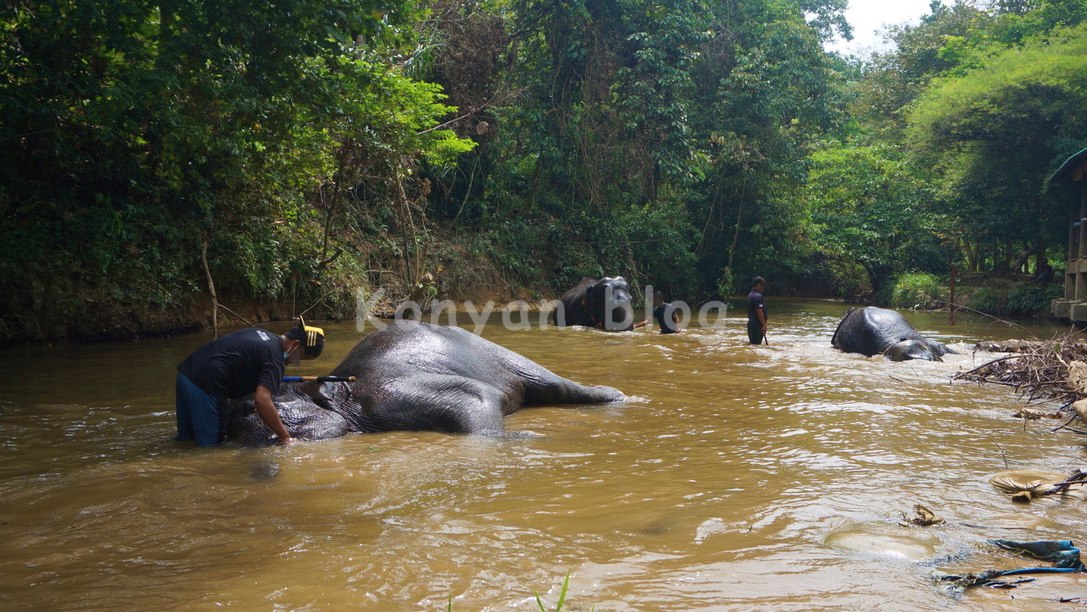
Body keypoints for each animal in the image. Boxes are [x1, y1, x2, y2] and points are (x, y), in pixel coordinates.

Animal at [225, 321, 626, 445]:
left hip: (503, 355)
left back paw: (617, 397)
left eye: (248, 405)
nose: (236, 413)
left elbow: (479, 394)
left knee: (550, 383)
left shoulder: (384, 393)